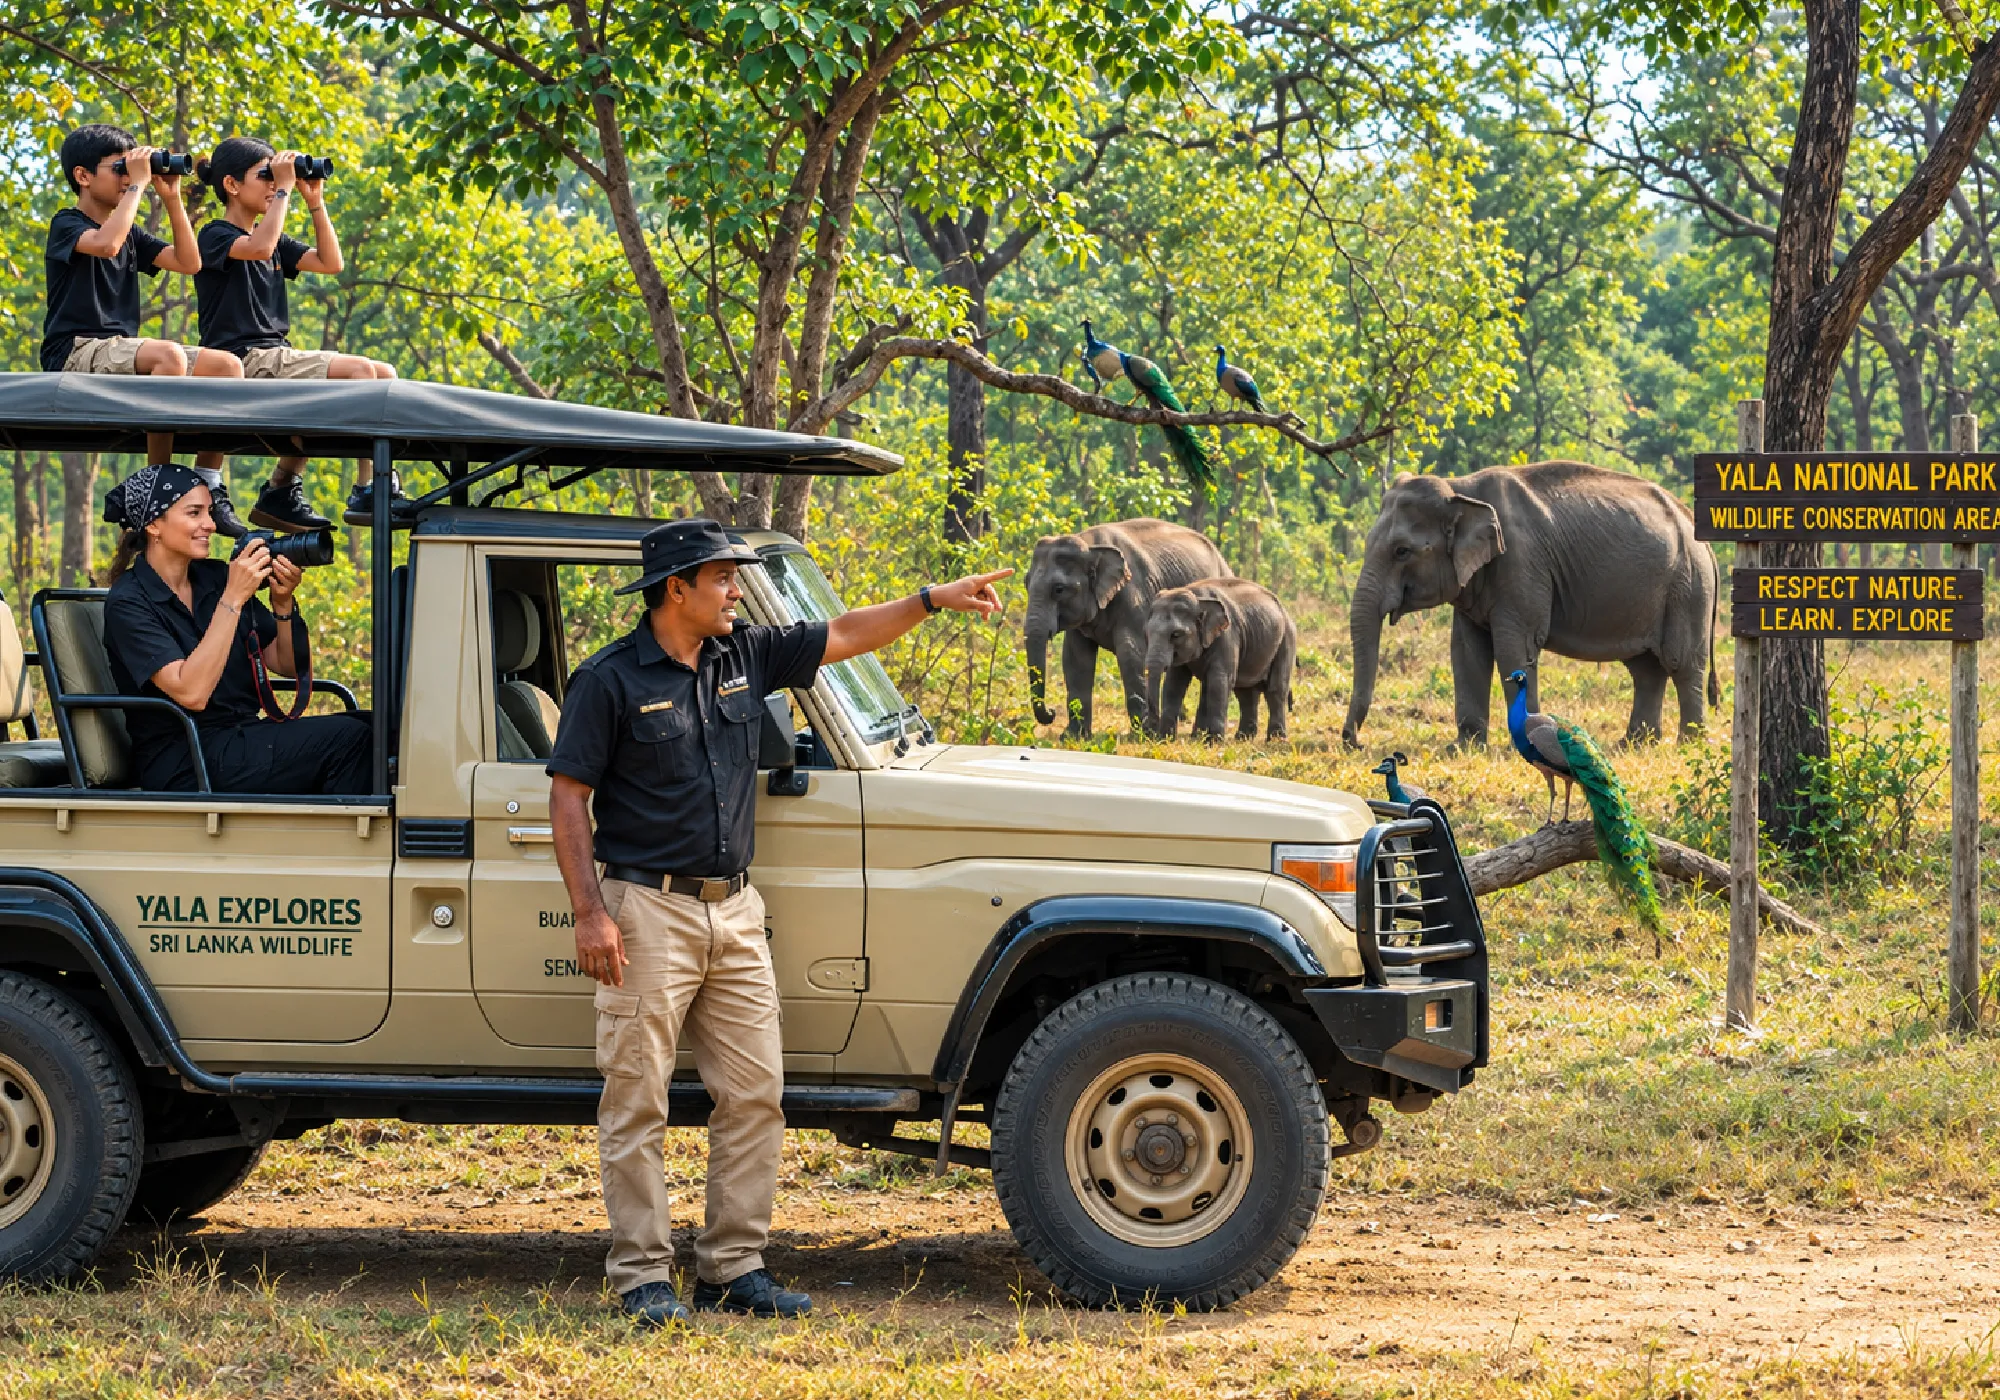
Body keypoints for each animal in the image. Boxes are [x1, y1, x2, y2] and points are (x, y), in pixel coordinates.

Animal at [1025, 518, 1230, 736]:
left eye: (1059, 589)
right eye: (1025, 583)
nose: (1052, 713)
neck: (1091, 546)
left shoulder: (1135, 598)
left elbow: (1130, 653)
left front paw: (1142, 734)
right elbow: (1076, 659)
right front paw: (1073, 736)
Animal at [1142, 577, 1297, 741]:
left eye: (1176, 634)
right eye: (1147, 633)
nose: (1150, 733)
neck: (1198, 598)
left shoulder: (1227, 635)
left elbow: (1219, 681)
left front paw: (1214, 741)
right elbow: (1174, 683)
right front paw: (1166, 740)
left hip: (1286, 639)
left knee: (1275, 689)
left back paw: (1276, 739)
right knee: (1245, 692)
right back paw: (1243, 737)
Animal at [1342, 460, 1719, 749]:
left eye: (1401, 551)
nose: (1353, 742)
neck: (1460, 488)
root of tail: (1696, 528)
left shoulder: (1522, 564)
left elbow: (1514, 646)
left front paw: (1525, 743)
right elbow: (1466, 650)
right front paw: (1463, 747)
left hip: (1688, 587)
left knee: (1681, 662)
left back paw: (1689, 745)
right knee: (1646, 669)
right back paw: (1636, 744)